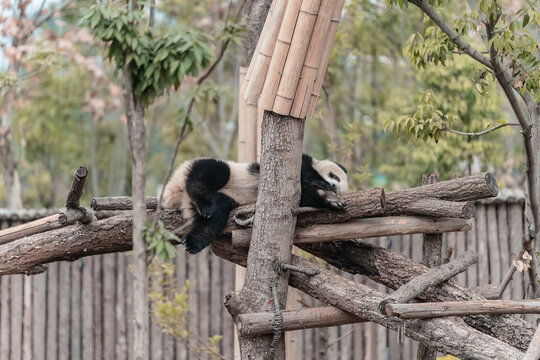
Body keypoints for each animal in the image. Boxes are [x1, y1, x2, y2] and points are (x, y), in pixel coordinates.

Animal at [162, 154, 348, 253]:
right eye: (335, 177)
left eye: (339, 189)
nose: (333, 186)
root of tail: (177, 193)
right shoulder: (299, 166)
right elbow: (304, 175)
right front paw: (322, 188)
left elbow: (305, 198)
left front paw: (332, 202)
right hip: (216, 168)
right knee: (212, 172)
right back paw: (202, 200)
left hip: (225, 199)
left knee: (214, 218)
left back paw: (193, 242)